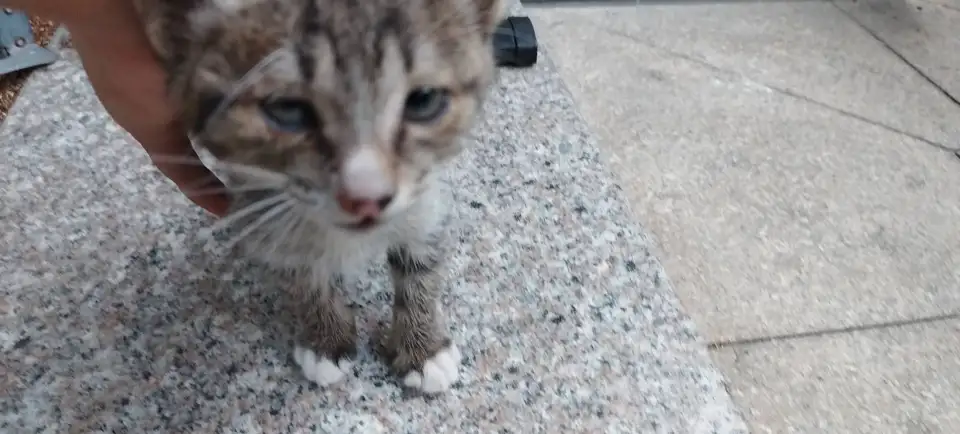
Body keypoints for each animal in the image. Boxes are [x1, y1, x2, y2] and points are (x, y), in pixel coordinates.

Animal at [136, 0, 510, 394]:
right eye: (287, 109)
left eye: (423, 101)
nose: (366, 197)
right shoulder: (260, 199)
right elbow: (300, 270)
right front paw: (326, 339)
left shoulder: (425, 199)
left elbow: (423, 263)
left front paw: (423, 347)